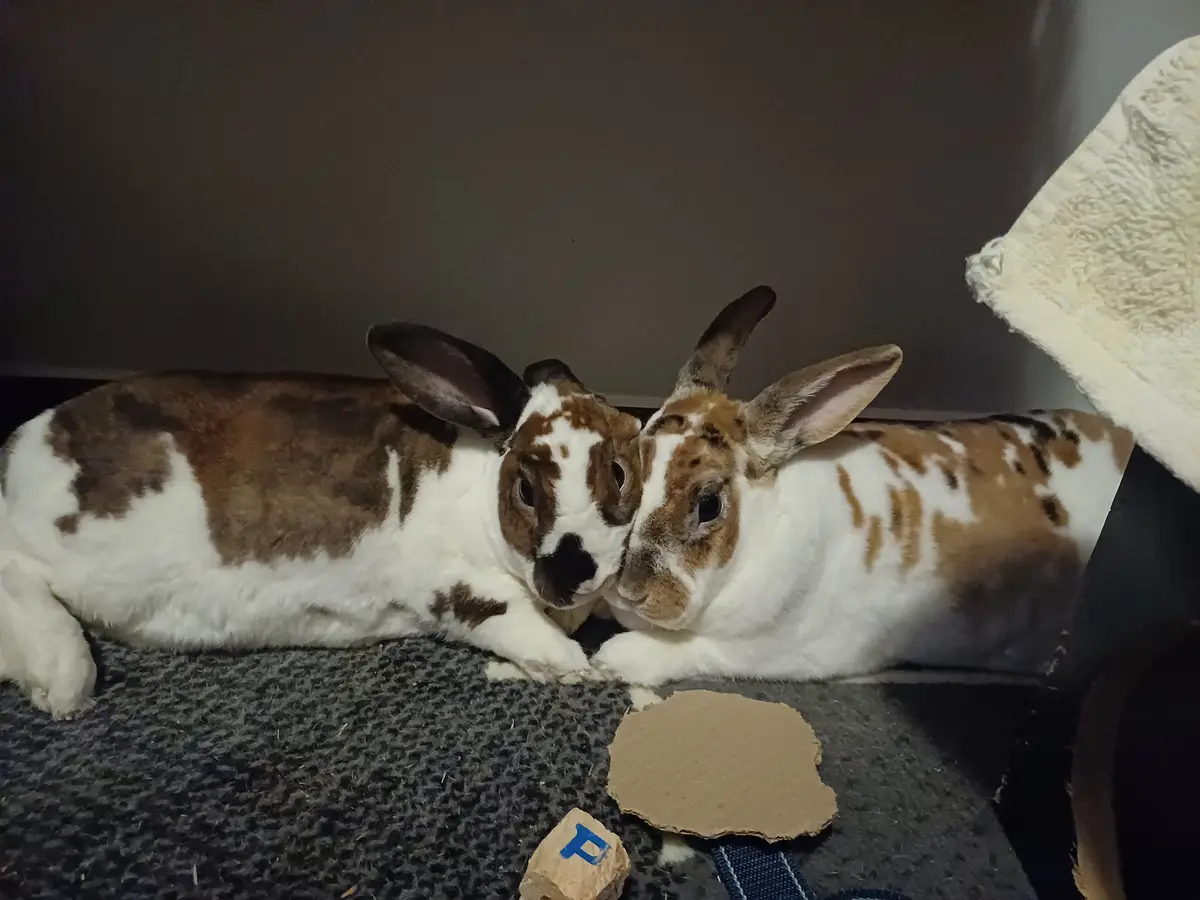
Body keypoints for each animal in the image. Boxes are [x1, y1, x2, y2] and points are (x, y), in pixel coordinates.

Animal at [0, 322, 643, 717]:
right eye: (526, 490)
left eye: (619, 472)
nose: (568, 576)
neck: (479, 487)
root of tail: (17, 455)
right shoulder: (458, 586)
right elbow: (517, 623)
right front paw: (579, 671)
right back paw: (59, 682)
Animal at [592, 286, 1133, 687]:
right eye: (626, 473)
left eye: (708, 505)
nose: (629, 589)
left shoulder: (768, 652)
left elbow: (693, 649)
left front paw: (612, 659)